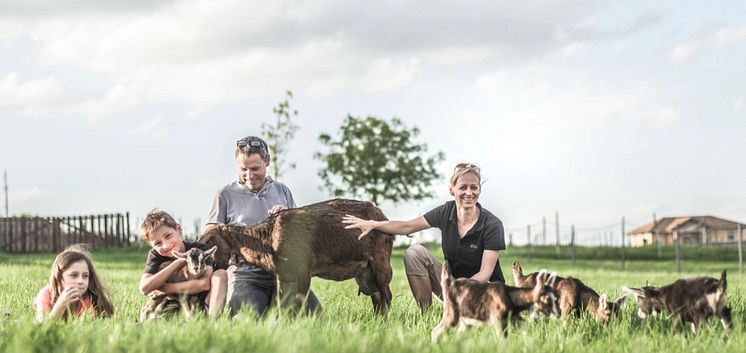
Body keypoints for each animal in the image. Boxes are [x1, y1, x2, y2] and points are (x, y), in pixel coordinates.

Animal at [198, 198, 396, 314]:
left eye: (208, 241)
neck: (268, 239)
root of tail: (382, 216)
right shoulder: (283, 276)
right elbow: (281, 305)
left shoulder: (303, 271)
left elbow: (300, 303)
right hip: (365, 272)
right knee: (377, 297)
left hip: (381, 262)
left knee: (386, 295)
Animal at [430, 262, 560, 340]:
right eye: (547, 299)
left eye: (557, 297)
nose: (559, 313)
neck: (510, 295)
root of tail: (448, 282)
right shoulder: (497, 321)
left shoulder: (510, 321)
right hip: (451, 313)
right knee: (436, 331)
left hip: (466, 321)